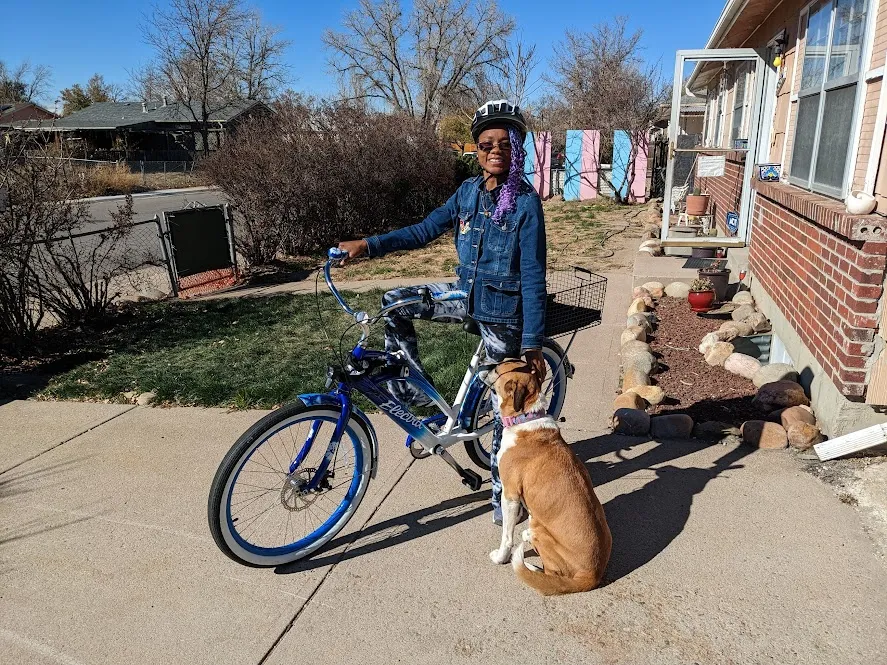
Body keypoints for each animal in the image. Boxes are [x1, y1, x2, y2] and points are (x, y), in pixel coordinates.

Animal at [486, 360, 612, 592]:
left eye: (498, 369)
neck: (525, 417)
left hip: (540, 529)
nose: (484, 366)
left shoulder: (509, 494)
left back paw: (529, 564)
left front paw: (500, 557)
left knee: (551, 576)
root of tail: (592, 576)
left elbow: (506, 536)